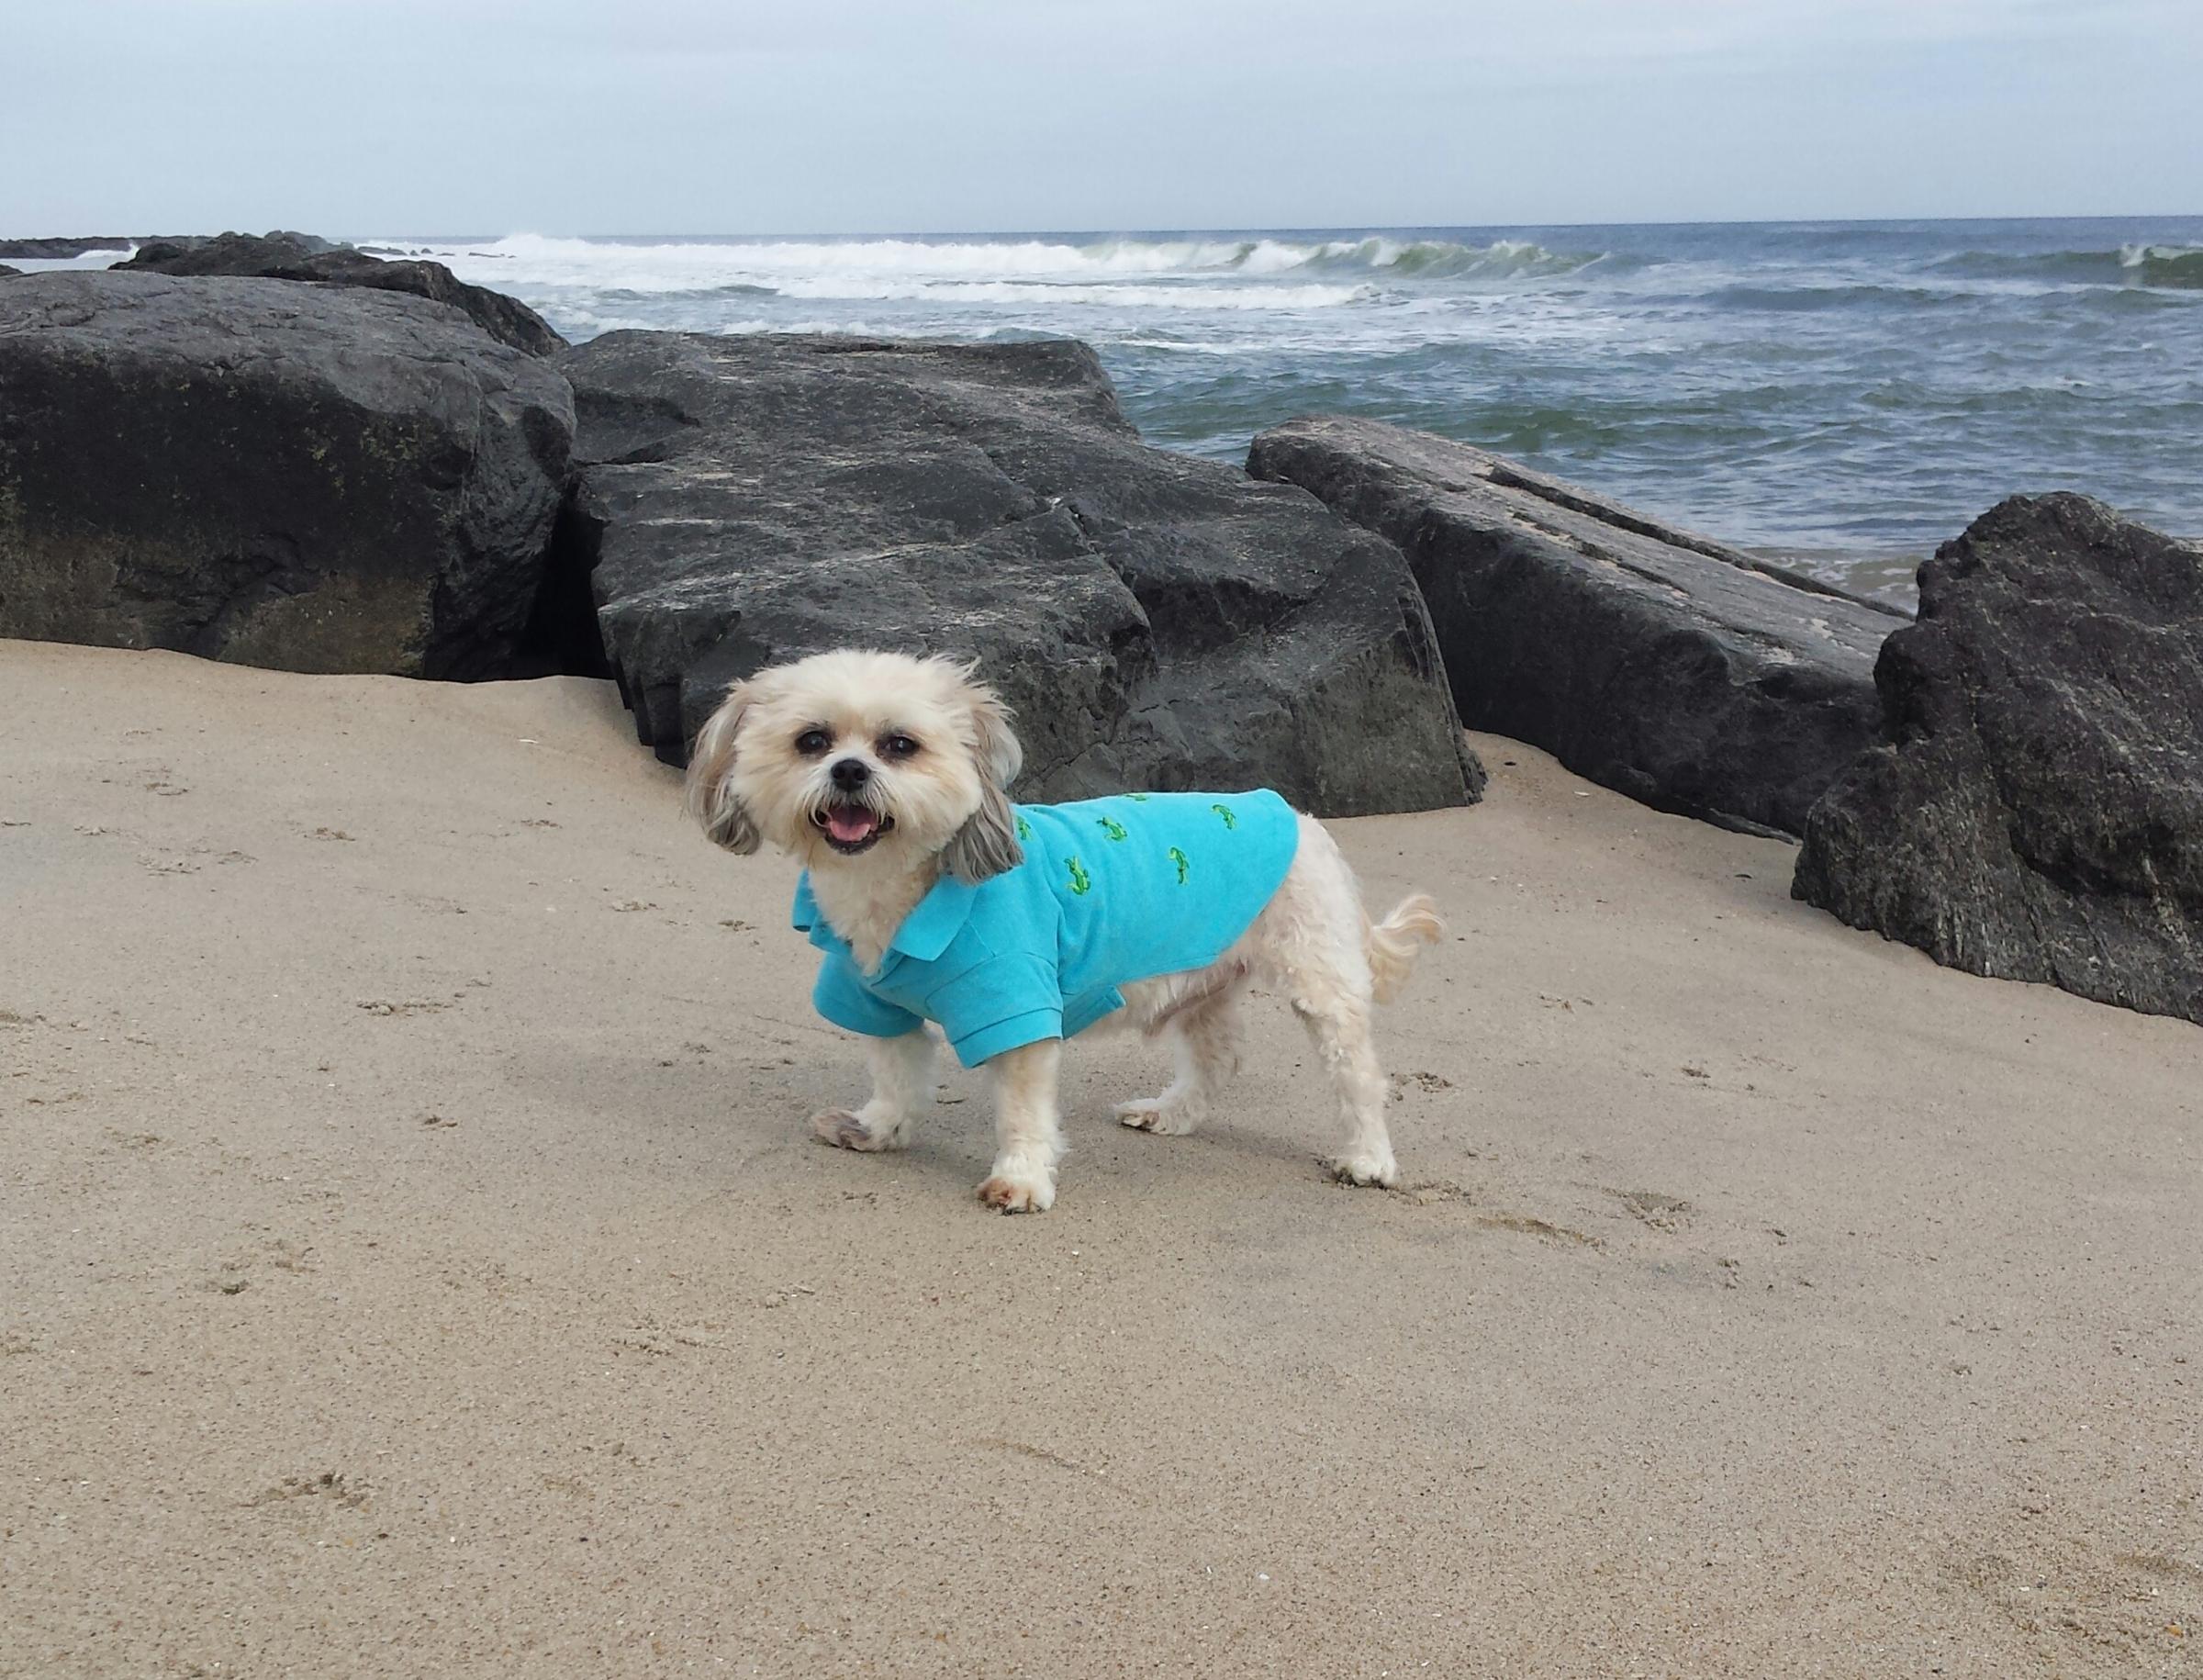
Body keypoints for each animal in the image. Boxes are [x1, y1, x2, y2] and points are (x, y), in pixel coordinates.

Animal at [687, 648, 1445, 1208]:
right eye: (811, 741)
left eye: (899, 745)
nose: (848, 770)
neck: (900, 886)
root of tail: (1300, 817)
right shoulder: (878, 1000)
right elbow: (897, 1072)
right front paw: (879, 1130)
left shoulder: (1016, 1004)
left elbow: (1022, 1106)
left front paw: (1020, 1179)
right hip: (1203, 981)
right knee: (1217, 1057)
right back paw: (1172, 1113)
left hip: (1320, 979)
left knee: (1358, 1076)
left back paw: (1368, 1158)